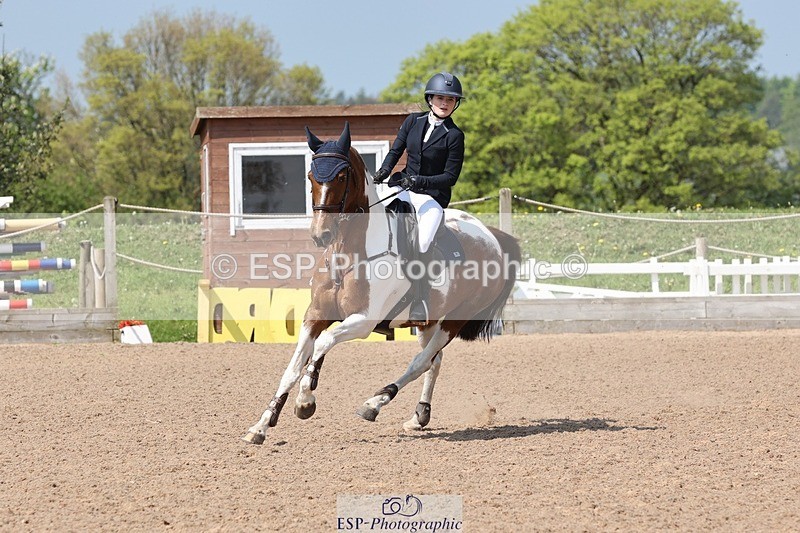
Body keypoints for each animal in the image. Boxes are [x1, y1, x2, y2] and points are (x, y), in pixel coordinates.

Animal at [242, 122, 521, 444]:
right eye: (311, 176)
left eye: (341, 176)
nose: (321, 235)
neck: (348, 254)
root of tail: (493, 237)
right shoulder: (315, 315)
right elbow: (294, 366)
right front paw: (261, 426)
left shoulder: (363, 320)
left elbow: (323, 345)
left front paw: (305, 402)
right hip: (429, 321)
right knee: (434, 361)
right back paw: (418, 416)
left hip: (454, 320)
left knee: (421, 361)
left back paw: (374, 403)